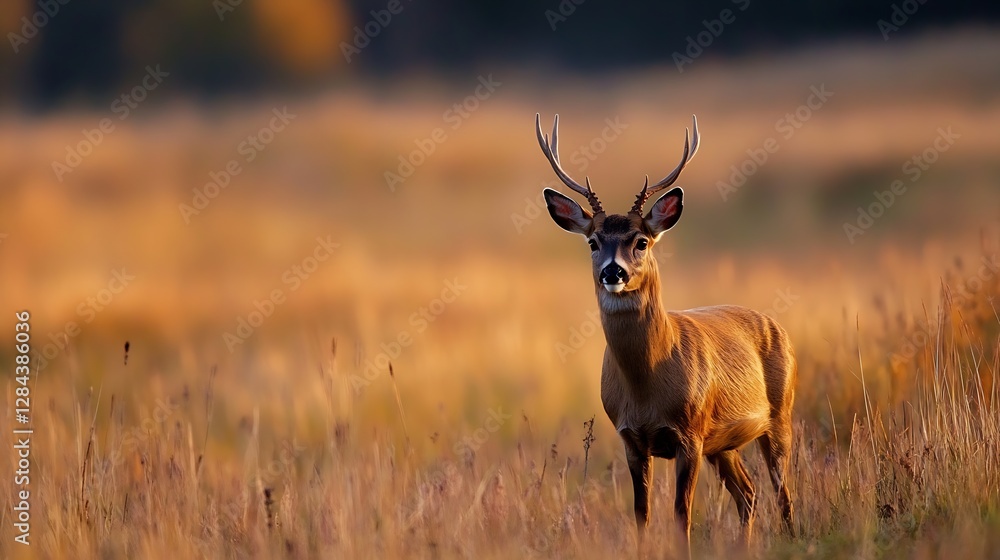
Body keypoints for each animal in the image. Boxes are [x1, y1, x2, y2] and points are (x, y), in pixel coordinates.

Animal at [536, 113, 796, 556]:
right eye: (593, 242)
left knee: (783, 494)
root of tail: (776, 325)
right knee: (749, 494)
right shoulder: (631, 438)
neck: (646, 390)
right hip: (724, 444)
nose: (613, 271)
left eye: (640, 241)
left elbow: (681, 515)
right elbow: (642, 515)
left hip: (780, 414)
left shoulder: (689, 433)